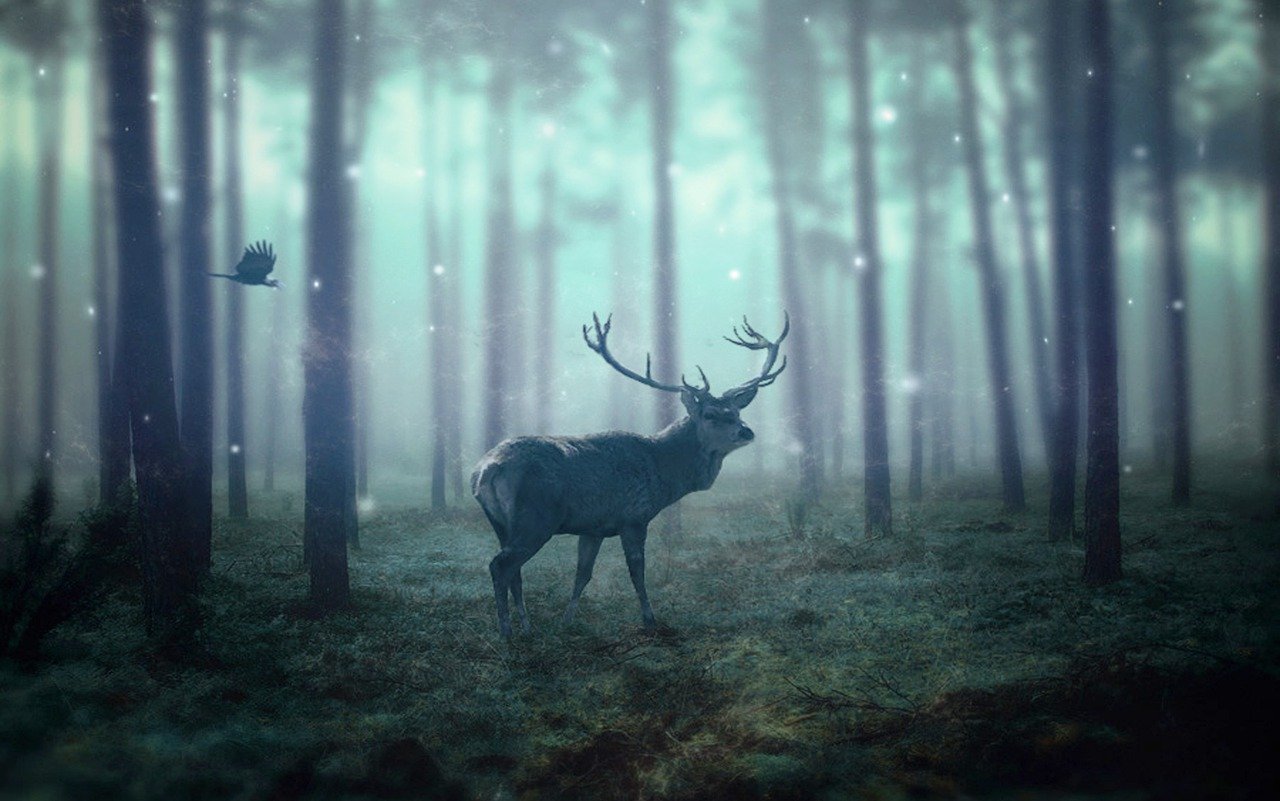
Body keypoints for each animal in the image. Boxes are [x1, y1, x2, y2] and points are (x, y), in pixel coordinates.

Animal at [473, 310, 783, 637]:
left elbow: (582, 575)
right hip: (535, 518)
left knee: (514, 571)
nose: (746, 431)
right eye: (710, 414)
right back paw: (506, 634)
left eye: (736, 413)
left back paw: (526, 627)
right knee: (500, 566)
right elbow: (637, 572)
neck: (663, 472)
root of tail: (487, 469)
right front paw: (650, 620)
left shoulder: (593, 527)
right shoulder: (634, 516)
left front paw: (567, 622)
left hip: (500, 522)